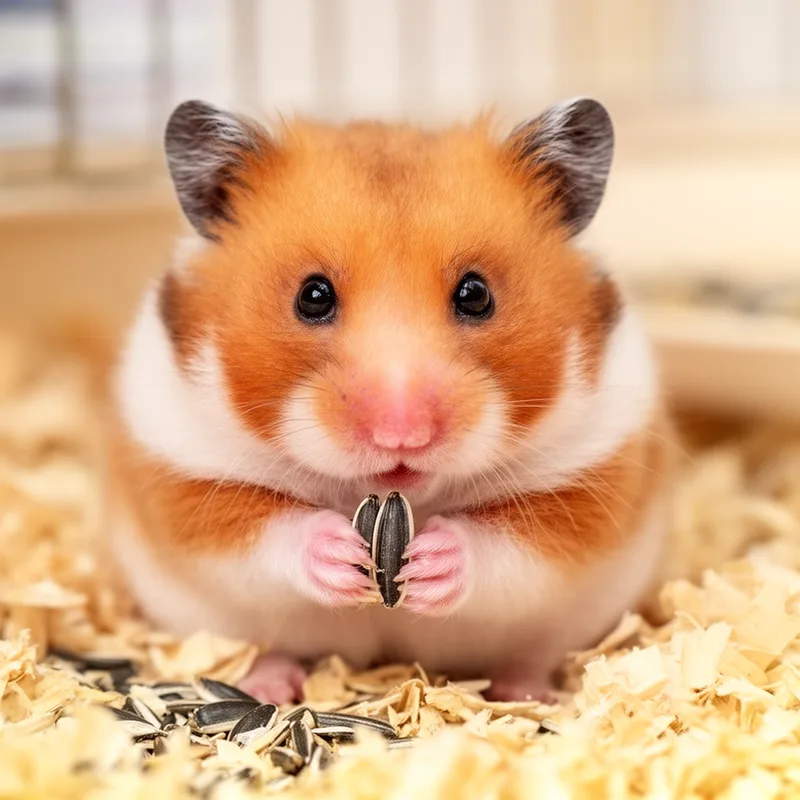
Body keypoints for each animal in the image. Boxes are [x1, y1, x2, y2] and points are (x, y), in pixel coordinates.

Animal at [104, 96, 676, 704]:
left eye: (476, 293)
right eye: (312, 295)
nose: (402, 435)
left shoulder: (591, 480)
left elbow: (518, 544)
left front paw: (427, 562)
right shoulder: (185, 479)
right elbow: (260, 533)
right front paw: (343, 553)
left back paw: (525, 692)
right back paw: (269, 688)